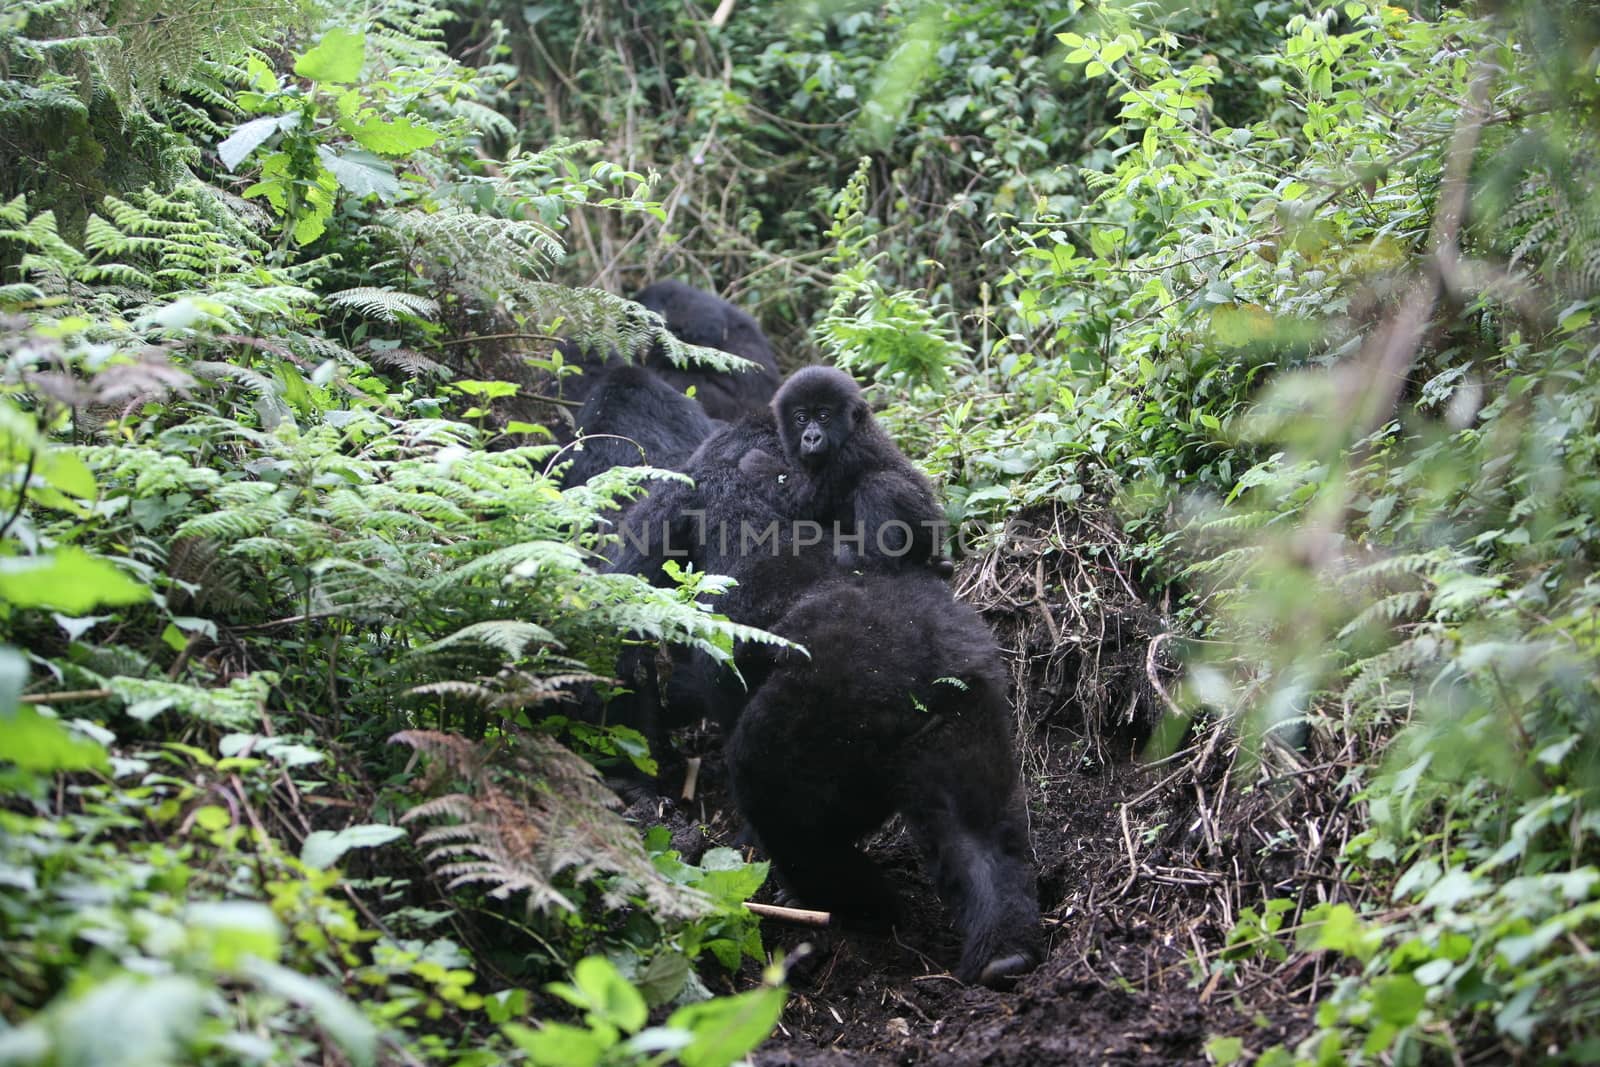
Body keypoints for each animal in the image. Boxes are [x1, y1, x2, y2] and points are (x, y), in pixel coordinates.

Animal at [604, 415, 1043, 985]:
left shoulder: (670, 497)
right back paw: (1004, 946)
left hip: (817, 720)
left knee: (785, 814)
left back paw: (859, 906)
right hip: (965, 693)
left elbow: (621, 625)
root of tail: (914, 665)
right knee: (977, 828)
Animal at [764, 364, 940, 572]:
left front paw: (753, 461)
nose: (812, 438)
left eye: (823, 416)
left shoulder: (850, 453)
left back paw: (871, 559)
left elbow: (800, 502)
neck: (856, 427)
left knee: (879, 485)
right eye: (802, 418)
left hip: (927, 525)